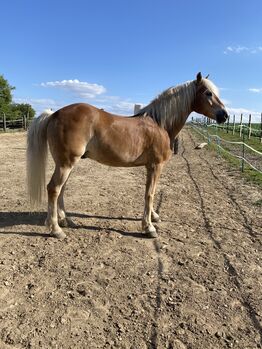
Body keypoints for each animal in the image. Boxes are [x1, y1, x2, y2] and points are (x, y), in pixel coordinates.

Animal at [26, 72, 227, 238]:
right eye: (208, 93)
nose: (224, 116)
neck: (160, 124)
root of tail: (54, 114)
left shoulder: (153, 167)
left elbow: (152, 192)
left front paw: (154, 217)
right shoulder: (155, 166)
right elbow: (150, 194)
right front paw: (148, 227)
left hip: (67, 164)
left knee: (61, 189)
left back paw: (65, 220)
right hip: (66, 163)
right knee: (53, 189)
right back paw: (56, 229)